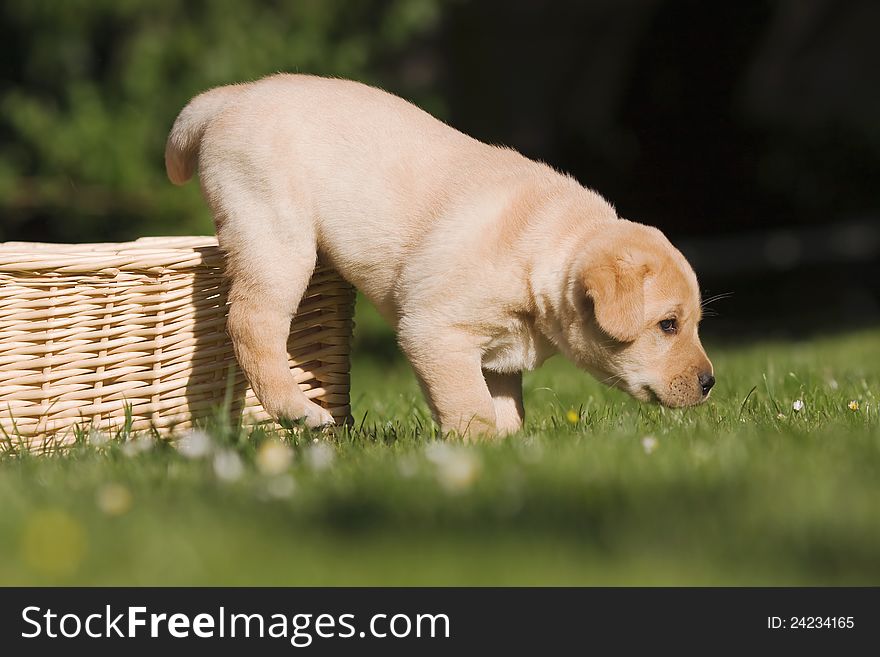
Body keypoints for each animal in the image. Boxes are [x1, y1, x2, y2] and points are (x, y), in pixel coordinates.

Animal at [167, 73, 716, 436]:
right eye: (668, 325)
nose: (711, 383)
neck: (546, 248)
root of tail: (234, 93)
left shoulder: (498, 359)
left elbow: (506, 409)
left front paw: (513, 448)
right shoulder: (435, 332)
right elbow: (470, 407)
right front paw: (479, 452)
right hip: (276, 235)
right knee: (252, 324)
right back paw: (298, 409)